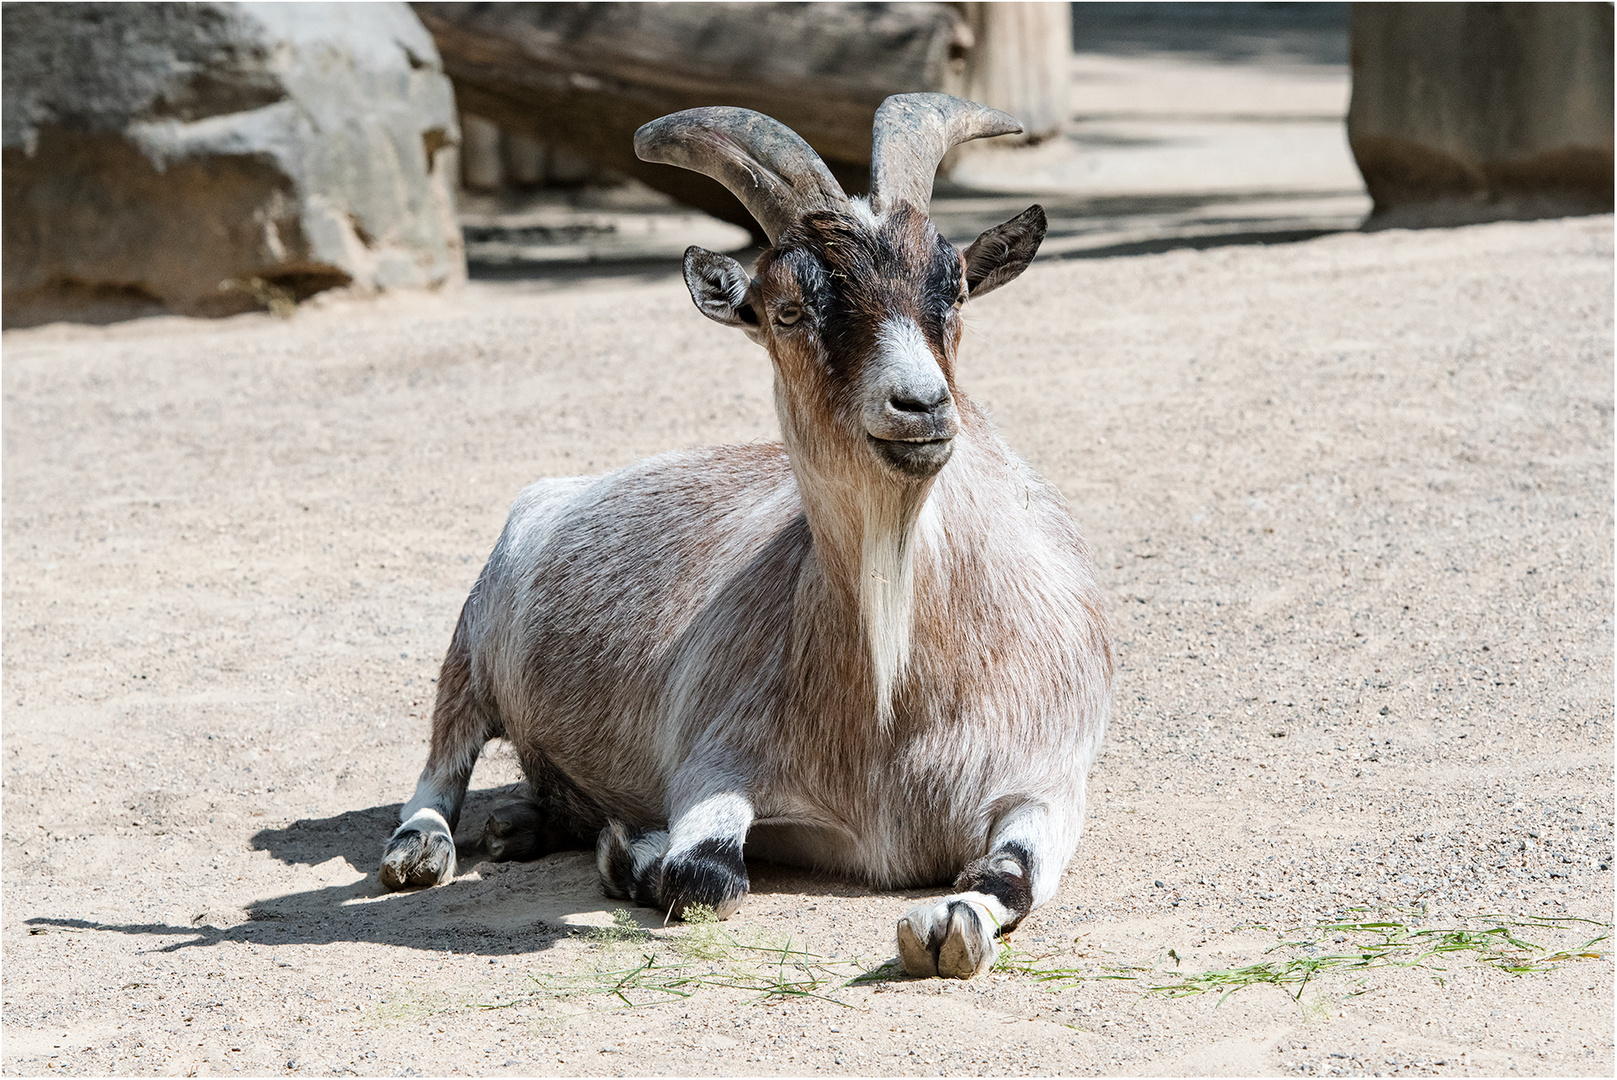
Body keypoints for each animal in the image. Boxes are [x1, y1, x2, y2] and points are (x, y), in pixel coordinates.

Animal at [378, 94, 1112, 976]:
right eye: (788, 310)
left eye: (959, 290)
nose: (921, 406)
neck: (899, 696)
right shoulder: (714, 757)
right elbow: (697, 875)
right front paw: (628, 852)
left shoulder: (1048, 778)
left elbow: (1011, 877)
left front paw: (948, 924)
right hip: (474, 640)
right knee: (443, 753)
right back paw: (425, 846)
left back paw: (524, 823)